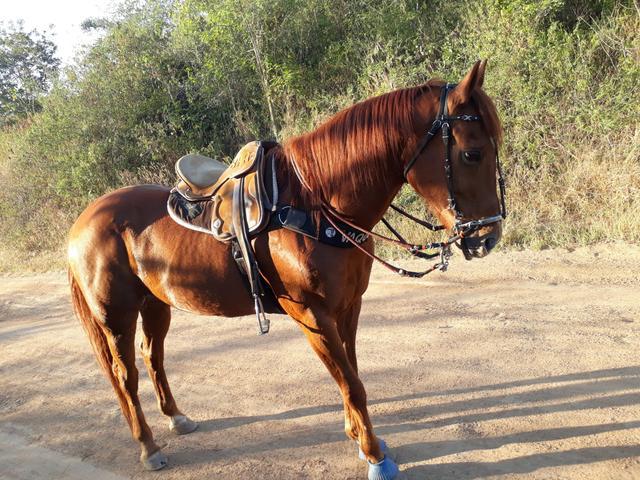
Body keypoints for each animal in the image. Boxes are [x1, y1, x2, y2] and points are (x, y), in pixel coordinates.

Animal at [69, 62, 504, 478]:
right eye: (472, 153)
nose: (488, 236)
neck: (314, 206)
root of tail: (82, 223)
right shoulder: (311, 314)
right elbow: (351, 383)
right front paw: (375, 455)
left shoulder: (348, 307)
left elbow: (351, 373)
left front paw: (357, 434)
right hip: (116, 316)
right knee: (125, 374)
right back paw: (148, 446)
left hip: (156, 304)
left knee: (152, 357)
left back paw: (176, 418)